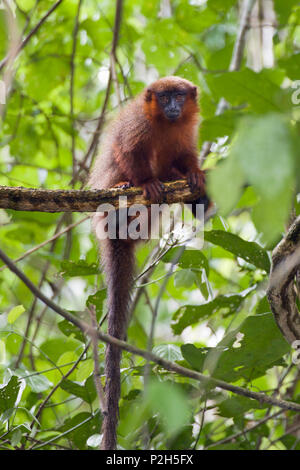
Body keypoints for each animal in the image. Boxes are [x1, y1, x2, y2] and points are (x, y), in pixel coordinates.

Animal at [88, 75, 210, 450]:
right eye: (165, 96)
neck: (165, 124)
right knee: (118, 169)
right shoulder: (137, 127)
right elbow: (126, 150)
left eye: (180, 97)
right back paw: (125, 190)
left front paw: (194, 175)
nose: (171, 106)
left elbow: (185, 156)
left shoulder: (187, 133)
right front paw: (143, 181)